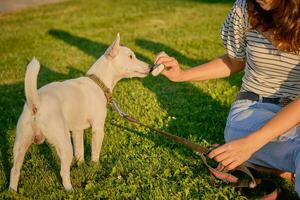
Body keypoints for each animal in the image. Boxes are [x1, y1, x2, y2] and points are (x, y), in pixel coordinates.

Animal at [9, 34, 150, 191]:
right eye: (131, 56)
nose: (151, 67)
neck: (98, 83)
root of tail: (36, 104)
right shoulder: (98, 129)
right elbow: (95, 154)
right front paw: (95, 168)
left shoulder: (77, 130)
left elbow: (80, 151)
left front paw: (82, 166)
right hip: (64, 144)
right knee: (63, 171)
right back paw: (70, 190)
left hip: (20, 144)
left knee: (14, 170)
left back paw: (12, 191)